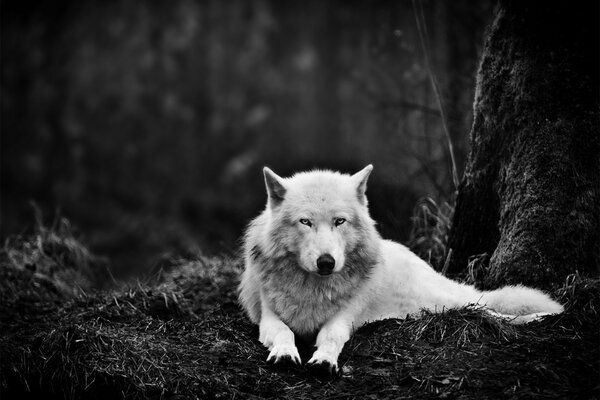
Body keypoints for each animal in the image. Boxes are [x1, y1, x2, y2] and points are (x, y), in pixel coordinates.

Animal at [238, 166, 564, 378]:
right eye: (305, 222)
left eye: (339, 221)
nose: (326, 262)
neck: (313, 288)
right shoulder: (268, 315)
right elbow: (283, 331)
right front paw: (285, 353)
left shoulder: (344, 317)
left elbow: (331, 336)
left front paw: (324, 360)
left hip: (447, 302)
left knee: (489, 310)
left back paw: (543, 316)